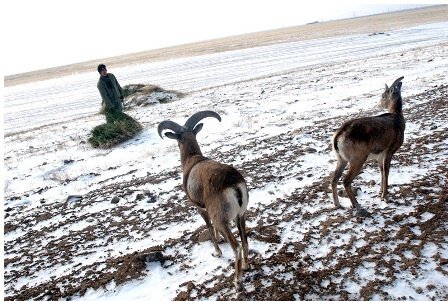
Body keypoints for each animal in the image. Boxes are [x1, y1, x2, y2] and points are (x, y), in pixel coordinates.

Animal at [158, 110, 248, 290]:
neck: (192, 160)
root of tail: (233, 184)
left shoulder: (200, 209)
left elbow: (209, 227)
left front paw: (217, 252)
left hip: (223, 222)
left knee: (237, 247)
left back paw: (237, 281)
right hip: (241, 217)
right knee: (245, 241)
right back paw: (247, 266)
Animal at [328, 76, 406, 214]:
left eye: (383, 95)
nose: (379, 104)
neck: (397, 118)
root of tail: (338, 136)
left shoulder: (380, 156)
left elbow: (382, 171)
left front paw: (380, 193)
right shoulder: (389, 151)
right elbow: (386, 171)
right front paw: (385, 197)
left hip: (341, 159)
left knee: (334, 179)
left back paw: (337, 204)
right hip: (358, 159)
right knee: (346, 181)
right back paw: (358, 206)